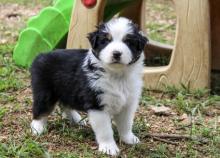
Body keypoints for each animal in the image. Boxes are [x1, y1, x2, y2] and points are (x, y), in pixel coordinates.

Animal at [30, 17, 148, 156]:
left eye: (128, 42)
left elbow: (126, 124)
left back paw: (76, 119)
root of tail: (41, 55)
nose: (116, 53)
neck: (117, 75)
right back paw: (37, 128)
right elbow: (105, 130)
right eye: (106, 41)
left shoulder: (128, 104)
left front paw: (129, 139)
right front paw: (109, 147)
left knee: (66, 104)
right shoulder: (97, 104)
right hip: (44, 91)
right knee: (40, 109)